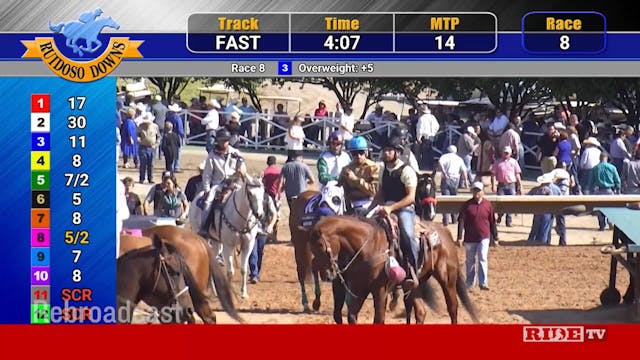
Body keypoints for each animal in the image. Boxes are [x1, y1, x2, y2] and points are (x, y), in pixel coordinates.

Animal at [308, 215, 478, 324]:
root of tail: (444, 232)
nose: (326, 275)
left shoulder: (380, 290)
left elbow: (378, 320)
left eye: (321, 246)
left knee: (453, 308)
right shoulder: (360, 288)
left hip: (447, 279)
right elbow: (351, 316)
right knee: (420, 312)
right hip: (417, 283)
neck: (368, 245)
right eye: (312, 248)